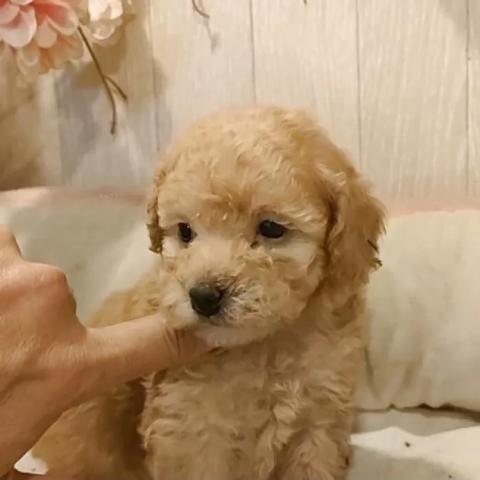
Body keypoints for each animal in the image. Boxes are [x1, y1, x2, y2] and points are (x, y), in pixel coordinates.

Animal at [33, 106, 385, 480]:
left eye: (271, 228)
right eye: (185, 232)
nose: (203, 296)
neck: (267, 345)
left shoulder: (318, 421)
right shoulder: (193, 431)